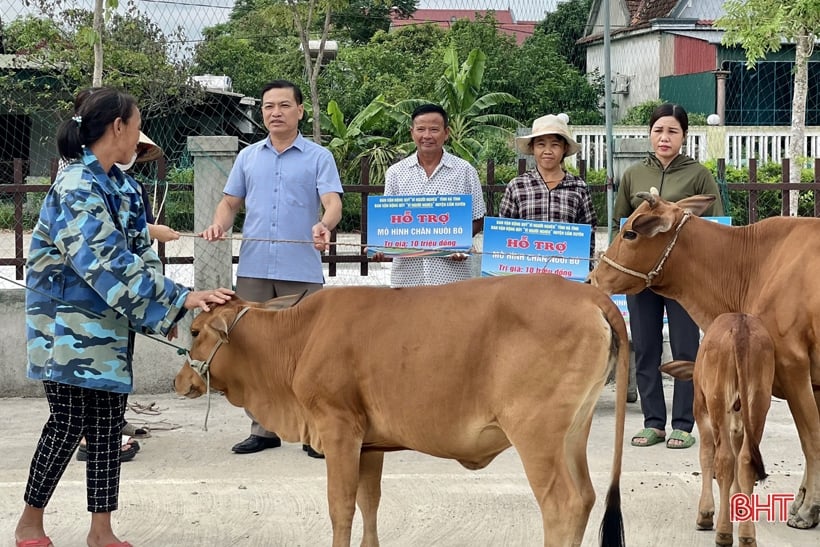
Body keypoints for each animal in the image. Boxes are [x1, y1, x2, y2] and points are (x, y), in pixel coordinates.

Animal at [175, 276, 628, 544]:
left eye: (195, 331)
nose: (180, 381)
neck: (298, 339)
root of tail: (590, 293)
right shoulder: (369, 443)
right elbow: (369, 502)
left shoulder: (339, 429)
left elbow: (341, 506)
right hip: (573, 433)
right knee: (586, 498)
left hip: (536, 435)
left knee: (563, 504)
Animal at [660, 314, 776, 544]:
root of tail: (740, 326)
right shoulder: (739, 426)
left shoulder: (701, 412)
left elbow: (707, 456)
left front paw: (706, 513)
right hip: (759, 403)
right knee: (745, 460)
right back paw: (747, 535)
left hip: (717, 402)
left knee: (724, 459)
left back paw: (723, 532)